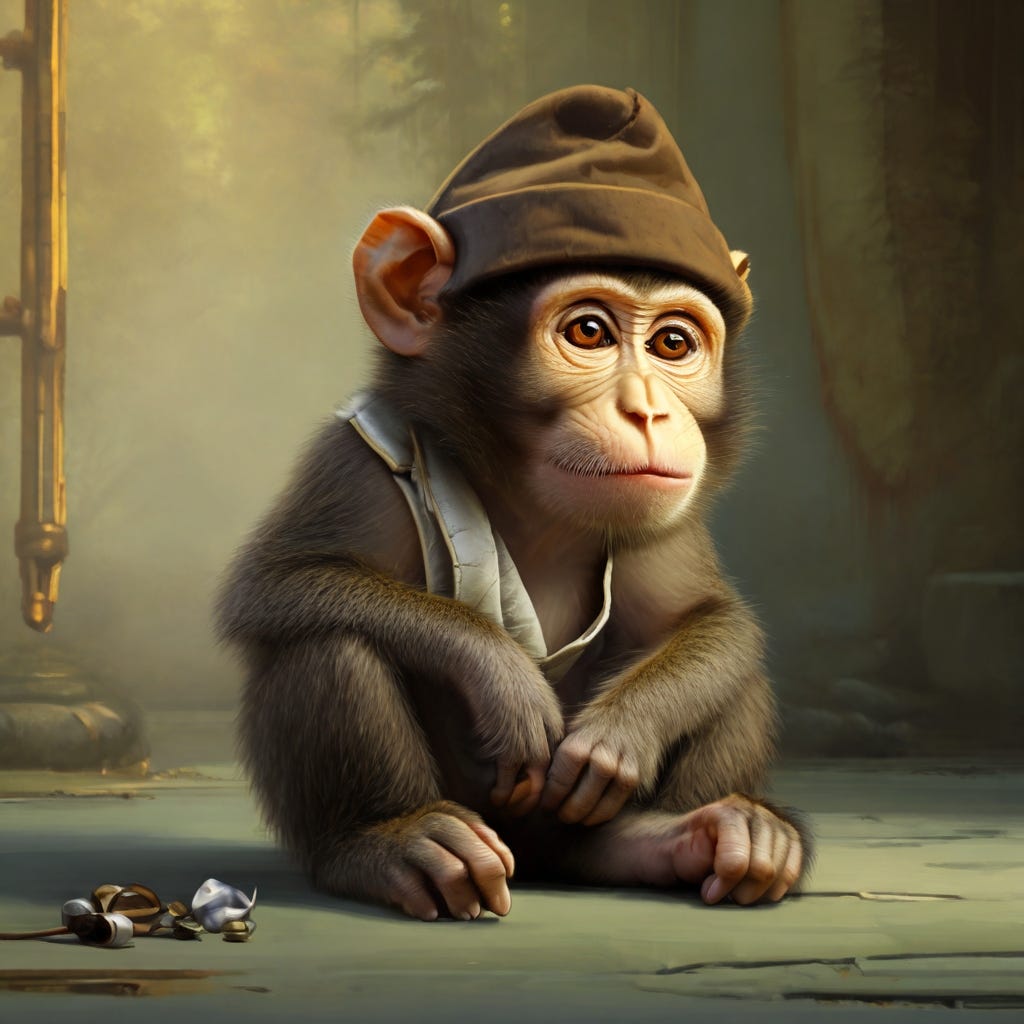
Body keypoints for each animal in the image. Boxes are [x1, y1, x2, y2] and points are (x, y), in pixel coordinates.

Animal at [215, 85, 811, 921]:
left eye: (673, 345)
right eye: (589, 331)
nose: (648, 411)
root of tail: (535, 857)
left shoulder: (669, 516)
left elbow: (708, 618)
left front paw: (623, 730)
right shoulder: (357, 460)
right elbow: (278, 583)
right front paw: (500, 673)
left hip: (567, 829)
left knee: (727, 675)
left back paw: (683, 836)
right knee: (328, 639)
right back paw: (393, 841)